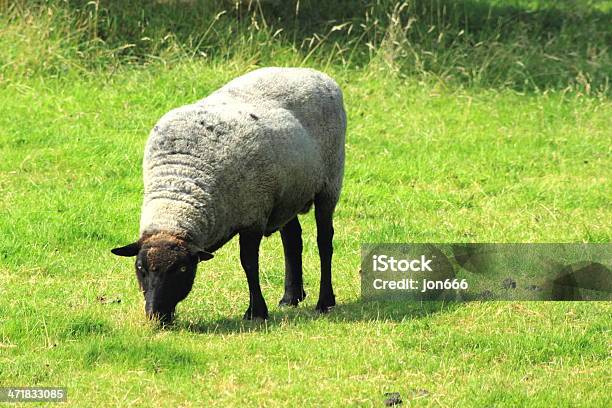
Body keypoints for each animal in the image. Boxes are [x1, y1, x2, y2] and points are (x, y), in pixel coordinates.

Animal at [112, 66, 346, 322]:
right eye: (140, 268)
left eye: (182, 269)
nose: (156, 315)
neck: (179, 185)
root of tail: (315, 73)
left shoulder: (254, 214)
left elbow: (249, 264)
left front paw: (256, 312)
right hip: (288, 193)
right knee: (293, 239)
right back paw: (290, 297)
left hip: (330, 183)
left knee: (325, 242)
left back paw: (325, 302)